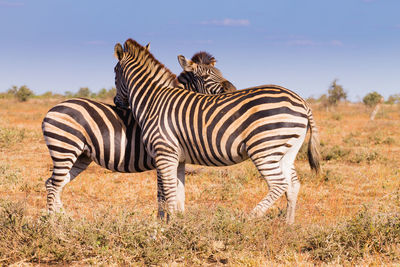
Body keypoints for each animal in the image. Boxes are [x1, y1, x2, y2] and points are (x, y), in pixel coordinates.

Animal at [42, 50, 236, 215]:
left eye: (220, 72)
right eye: (205, 76)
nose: (232, 90)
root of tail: (53, 108)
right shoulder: (163, 158)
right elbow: (162, 196)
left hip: (81, 155)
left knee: (54, 184)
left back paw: (63, 219)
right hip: (65, 148)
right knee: (53, 185)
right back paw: (54, 224)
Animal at [113, 39, 322, 224]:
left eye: (115, 72)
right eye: (206, 76)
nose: (116, 102)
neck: (152, 100)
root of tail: (302, 101)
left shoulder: (164, 152)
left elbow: (166, 193)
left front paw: (166, 226)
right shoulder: (178, 158)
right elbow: (178, 192)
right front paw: (178, 222)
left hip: (264, 148)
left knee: (279, 184)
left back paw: (249, 218)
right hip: (287, 150)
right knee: (293, 185)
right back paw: (289, 225)